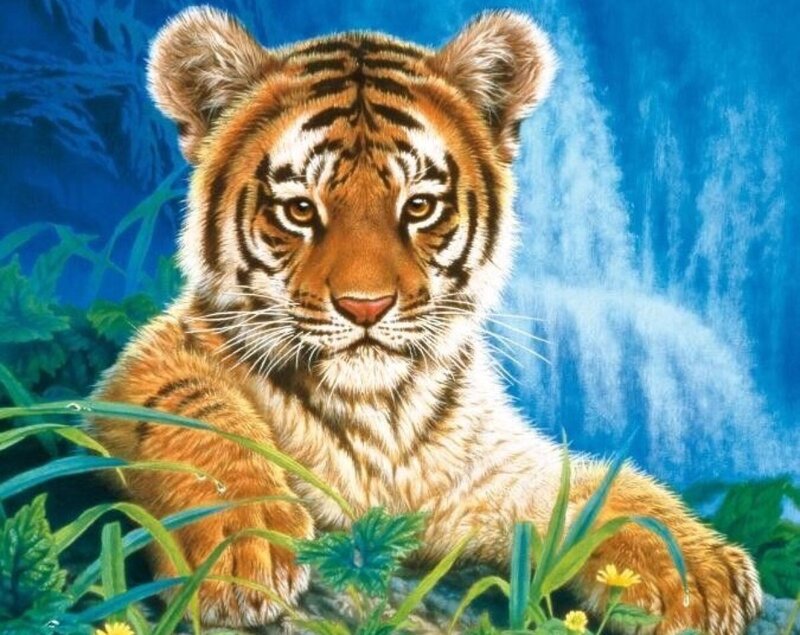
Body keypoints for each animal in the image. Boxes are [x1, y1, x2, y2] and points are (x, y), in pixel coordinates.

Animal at [89, 6, 762, 633]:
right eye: (300, 210)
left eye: (418, 206)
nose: (365, 306)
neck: (377, 417)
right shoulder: (145, 363)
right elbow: (195, 413)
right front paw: (242, 546)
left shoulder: (479, 484)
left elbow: (590, 486)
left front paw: (696, 570)